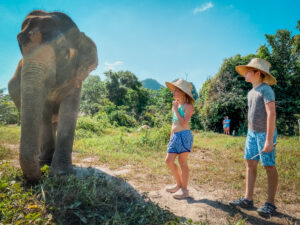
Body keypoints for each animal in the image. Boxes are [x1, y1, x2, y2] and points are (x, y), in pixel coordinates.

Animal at [8, 10, 98, 181]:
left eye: (62, 48)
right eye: (20, 45)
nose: (41, 175)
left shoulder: (76, 76)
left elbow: (69, 111)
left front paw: (61, 174)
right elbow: (44, 111)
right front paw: (45, 164)